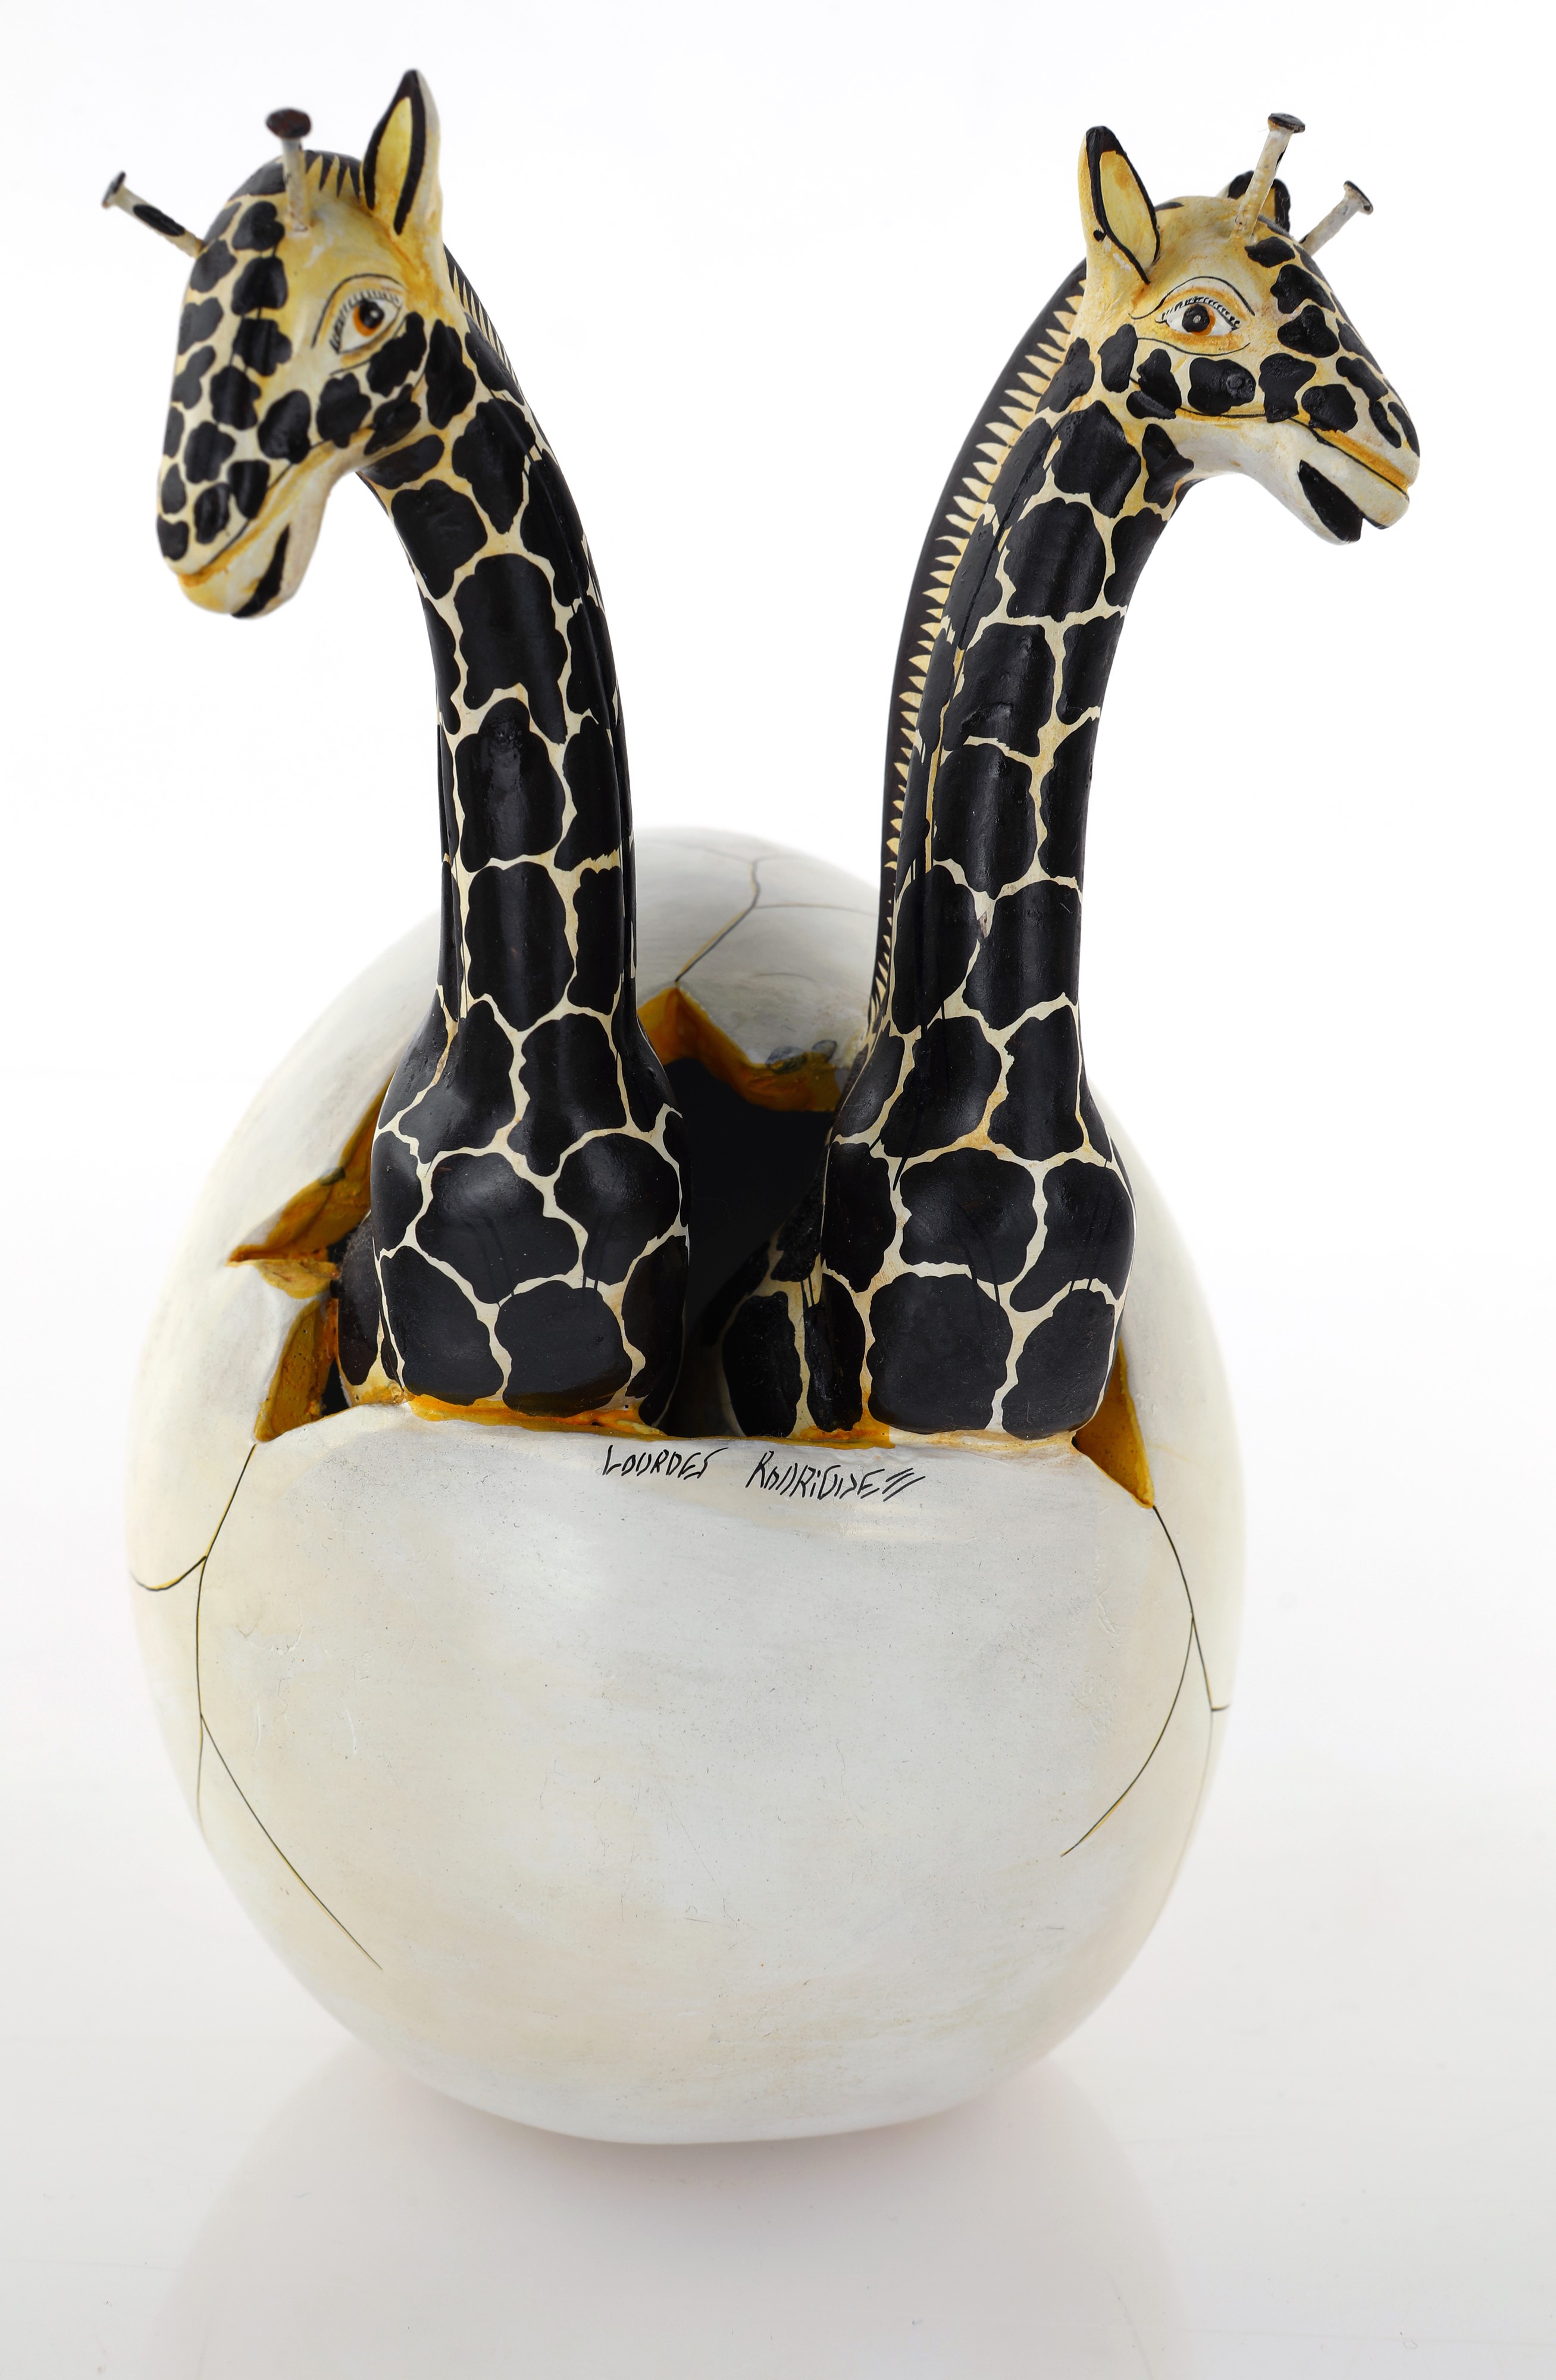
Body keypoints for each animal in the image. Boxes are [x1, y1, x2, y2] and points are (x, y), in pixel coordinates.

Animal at [124, 74, 690, 1424]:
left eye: (368, 314)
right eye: (180, 312)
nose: (196, 540)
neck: (527, 1073)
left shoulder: (627, 1393)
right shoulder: (385, 1367)